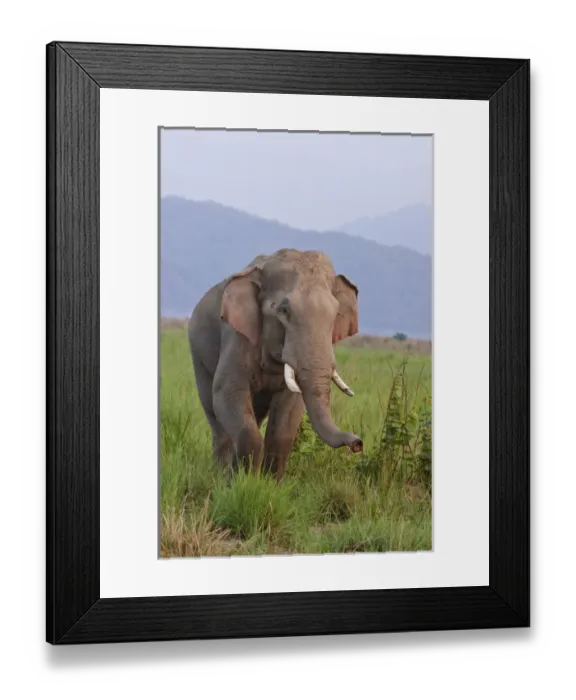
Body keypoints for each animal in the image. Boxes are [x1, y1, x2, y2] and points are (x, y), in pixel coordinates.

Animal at [187, 248, 363, 481]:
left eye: (335, 315)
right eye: (284, 310)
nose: (358, 444)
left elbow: (287, 415)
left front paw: (269, 483)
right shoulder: (237, 337)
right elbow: (228, 392)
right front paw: (243, 482)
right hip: (198, 353)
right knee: (214, 411)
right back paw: (219, 472)